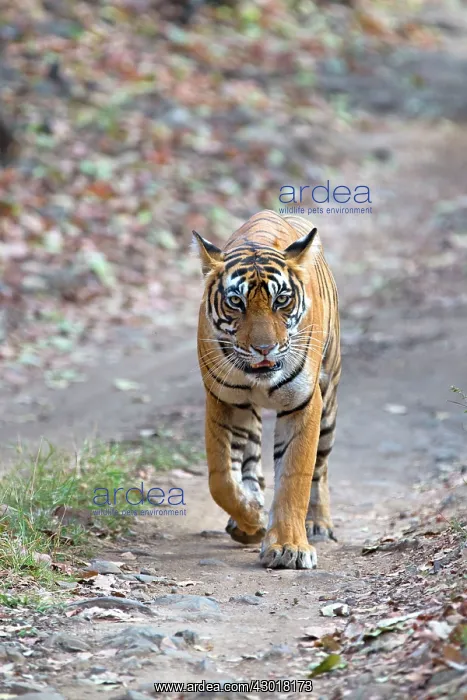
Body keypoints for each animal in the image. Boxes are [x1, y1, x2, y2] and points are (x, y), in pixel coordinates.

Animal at [194, 210, 341, 569]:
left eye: (281, 300)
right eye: (236, 302)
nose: (264, 349)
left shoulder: (304, 403)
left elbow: (295, 477)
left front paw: (290, 547)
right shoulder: (223, 400)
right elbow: (221, 478)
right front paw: (252, 520)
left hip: (329, 401)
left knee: (320, 468)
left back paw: (318, 524)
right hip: (247, 410)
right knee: (248, 459)